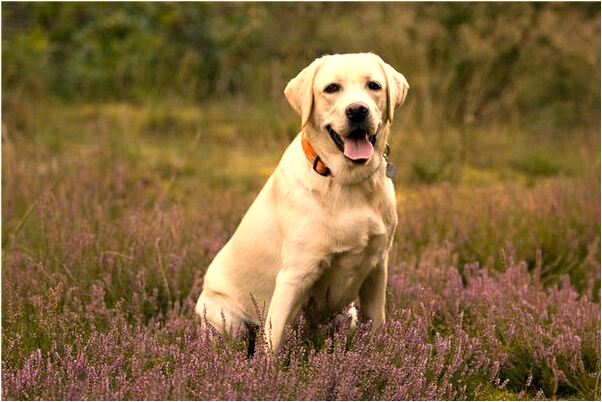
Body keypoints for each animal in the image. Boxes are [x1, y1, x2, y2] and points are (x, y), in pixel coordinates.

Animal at [196, 52, 408, 352]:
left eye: (374, 86)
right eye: (331, 88)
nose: (357, 110)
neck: (347, 181)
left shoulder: (377, 268)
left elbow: (377, 325)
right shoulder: (295, 275)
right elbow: (272, 345)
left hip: (349, 314)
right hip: (225, 319)